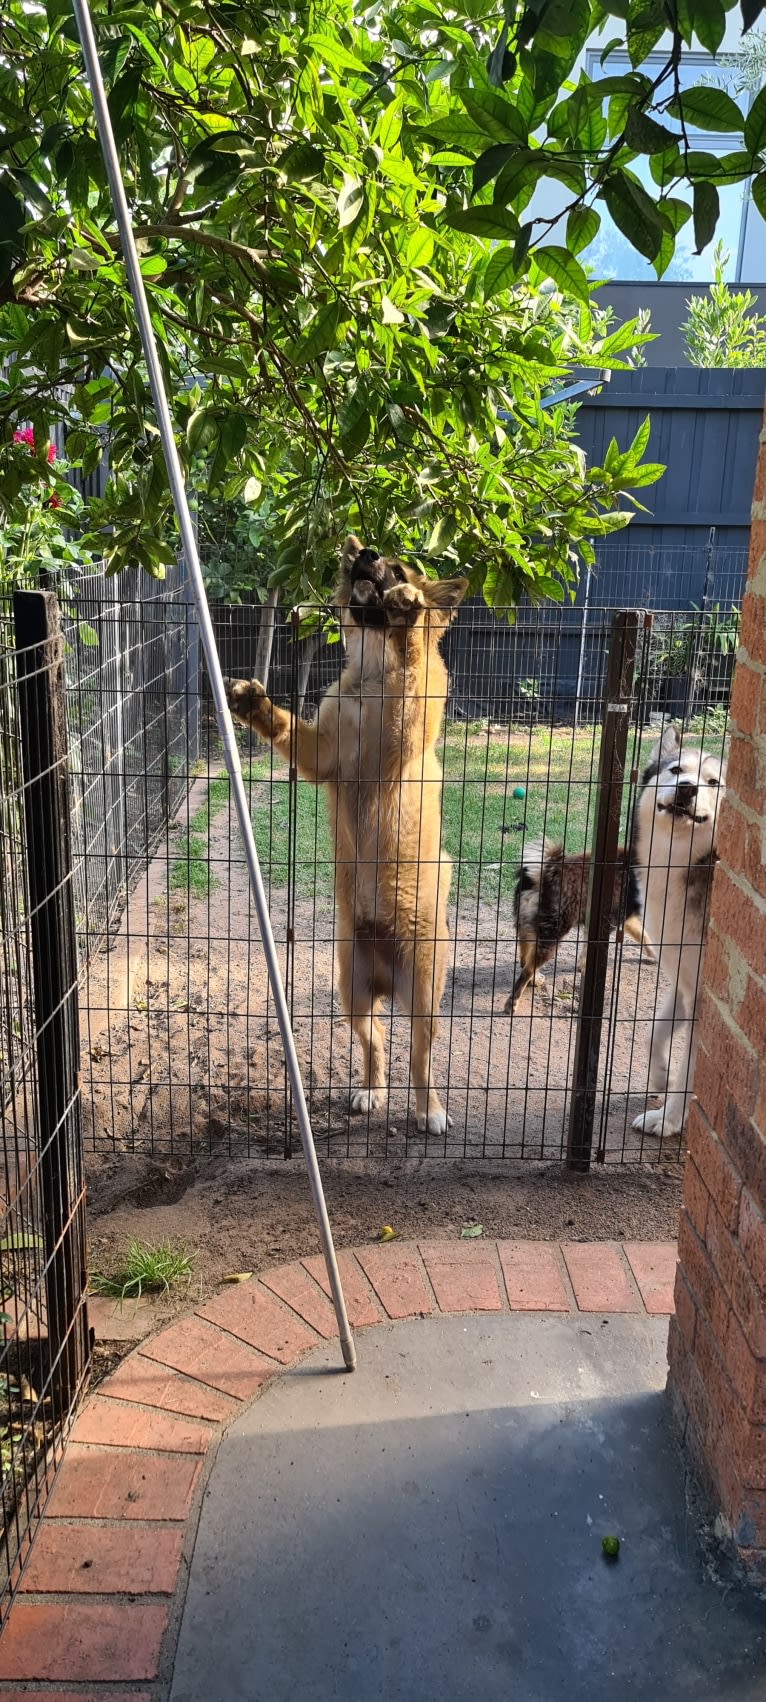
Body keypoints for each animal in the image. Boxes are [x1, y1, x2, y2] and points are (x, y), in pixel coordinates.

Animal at [224, 537, 466, 1136]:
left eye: (401, 568)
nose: (367, 554)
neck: (373, 674)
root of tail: (386, 977)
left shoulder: (406, 726)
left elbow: (411, 654)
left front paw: (407, 611)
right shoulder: (322, 755)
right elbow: (288, 727)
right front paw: (254, 705)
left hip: (424, 996)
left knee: (420, 1059)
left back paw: (430, 1110)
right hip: (351, 990)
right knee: (376, 1043)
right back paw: (371, 1091)